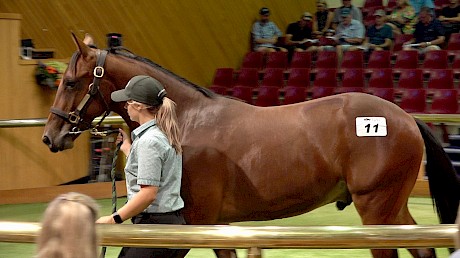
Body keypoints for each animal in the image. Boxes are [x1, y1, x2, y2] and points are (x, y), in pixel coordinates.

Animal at [41, 34, 458, 258]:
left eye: (72, 82)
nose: (51, 136)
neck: (187, 123)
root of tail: (406, 118)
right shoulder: (217, 224)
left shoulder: (198, 222)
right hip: (393, 208)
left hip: (376, 210)